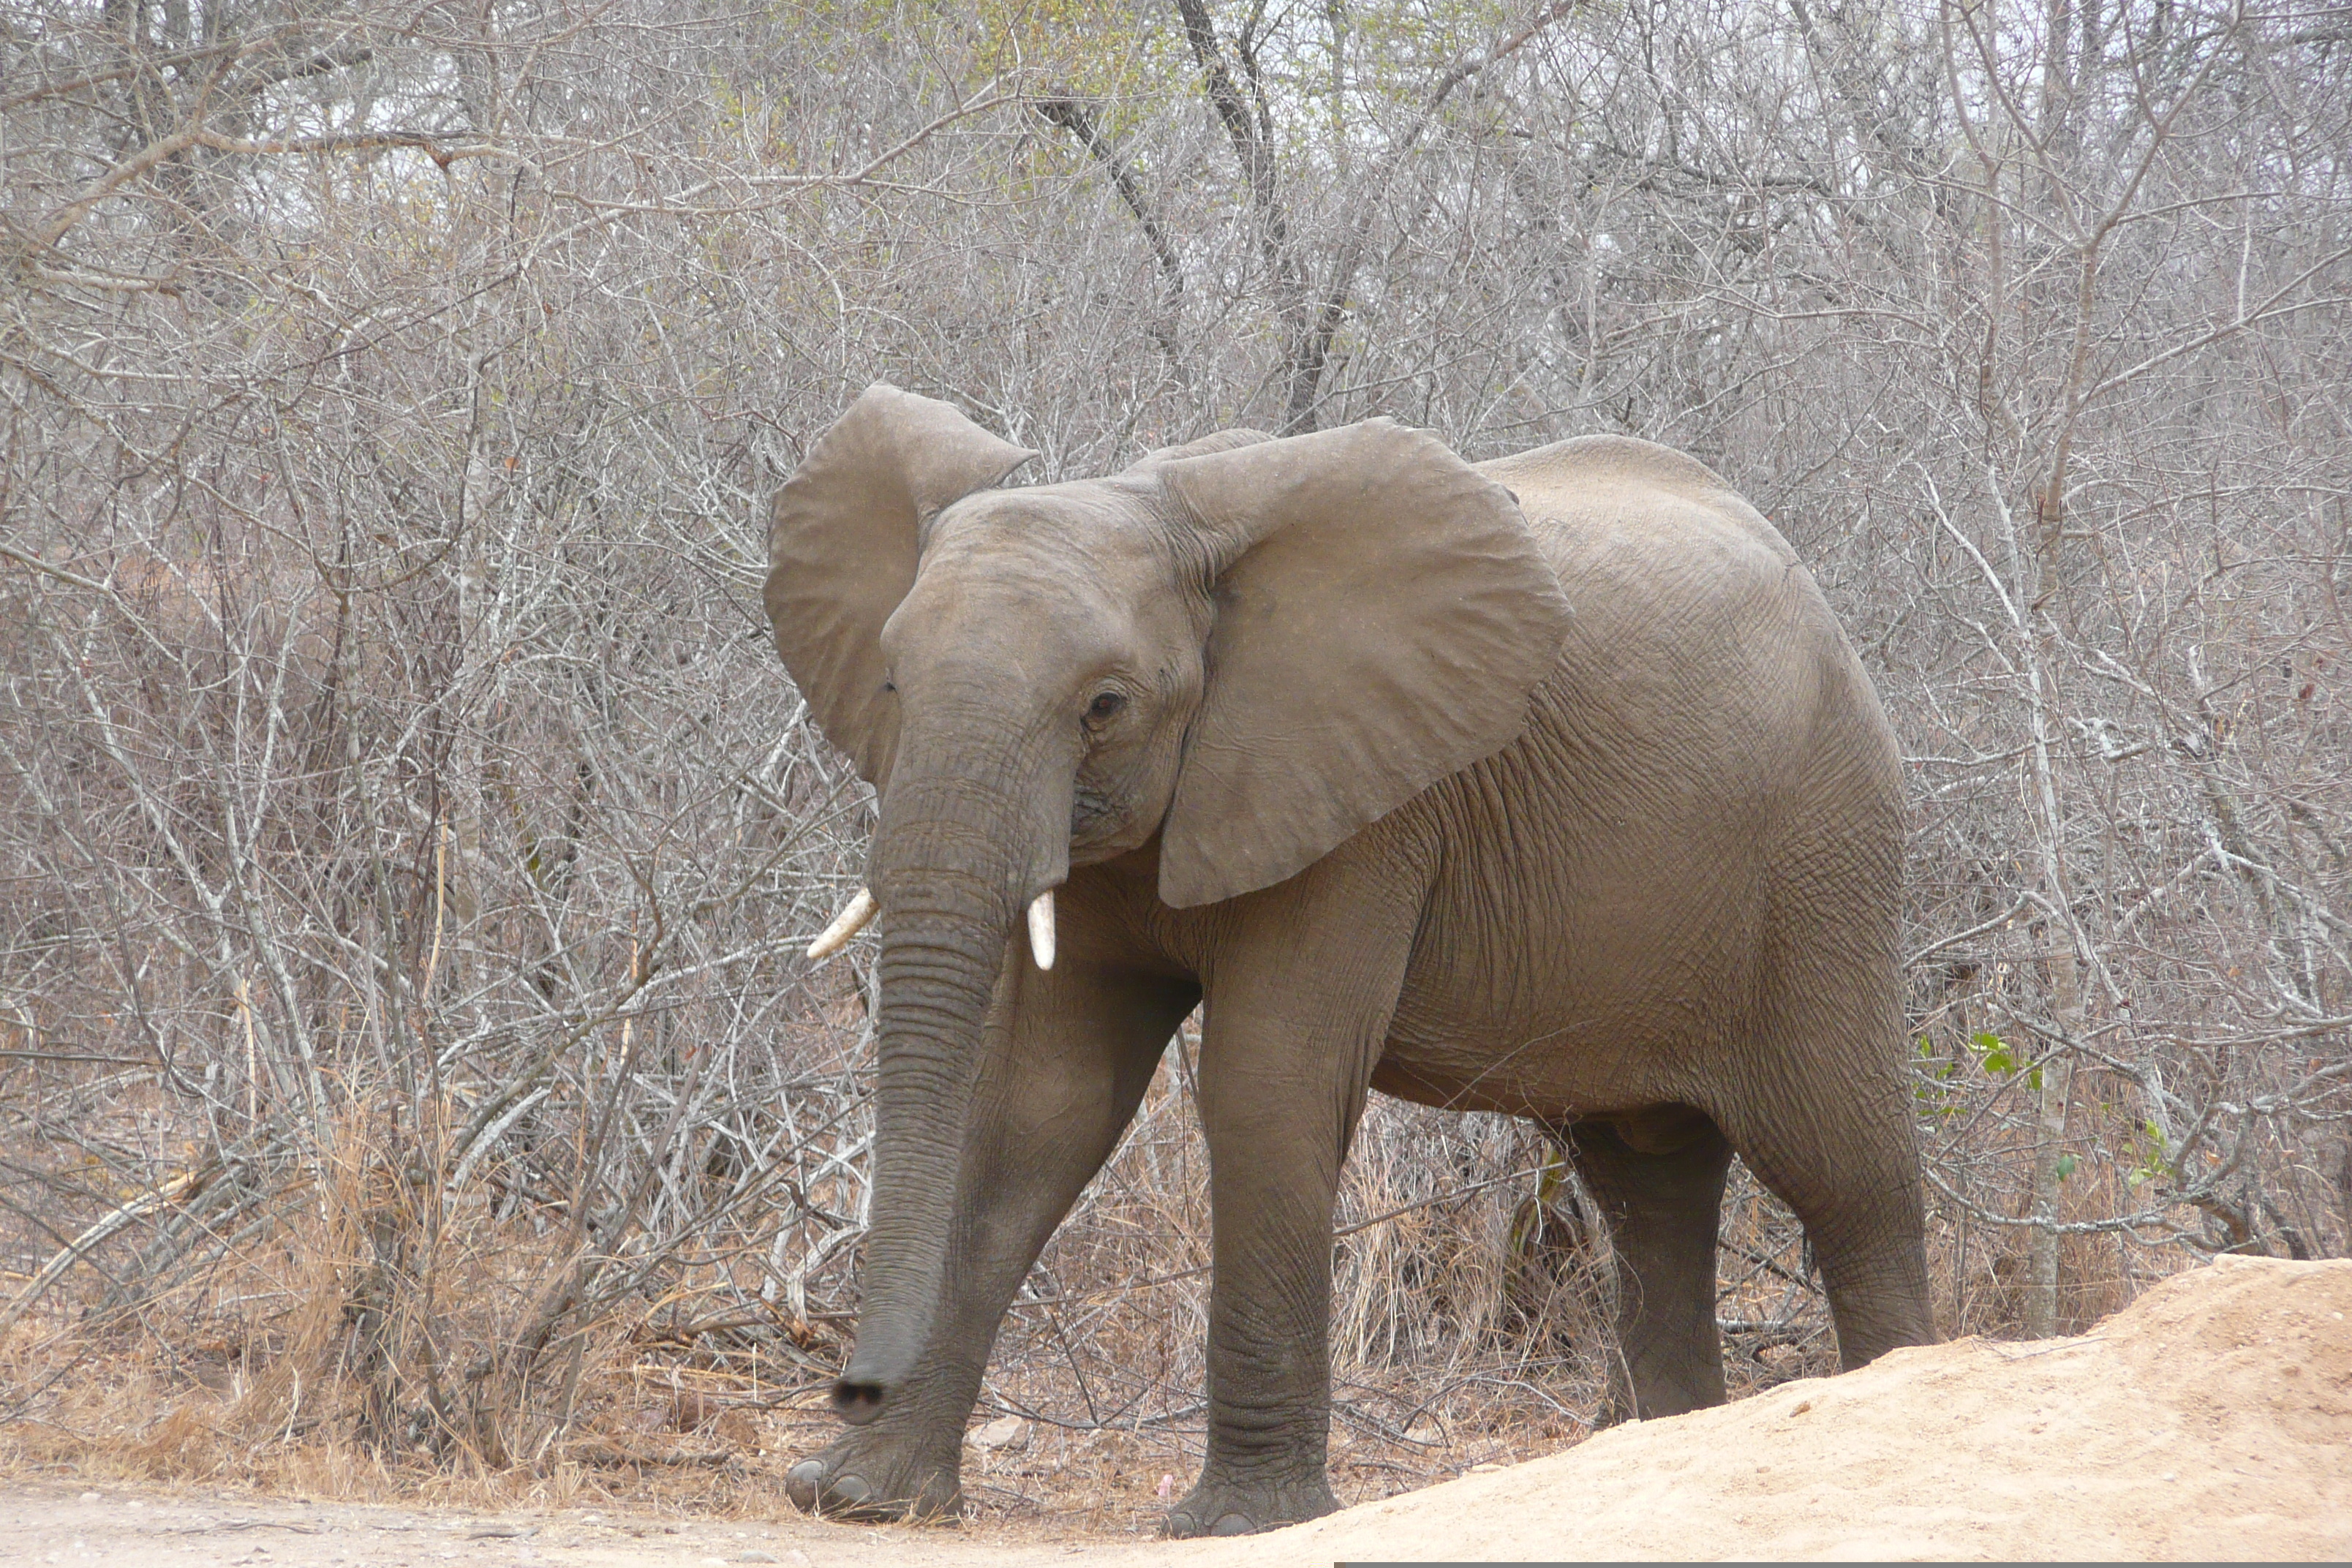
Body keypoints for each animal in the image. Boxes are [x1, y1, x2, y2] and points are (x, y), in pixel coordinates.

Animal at [761, 385, 1937, 1542]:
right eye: (890, 682)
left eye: (1105, 705)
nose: (848, 1383)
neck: (1156, 508)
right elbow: (1042, 1105)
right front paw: (864, 1498)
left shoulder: (1362, 807)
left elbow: (1266, 1086)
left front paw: (1241, 1524)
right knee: (1648, 1180)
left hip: (1821, 858)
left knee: (1843, 1166)